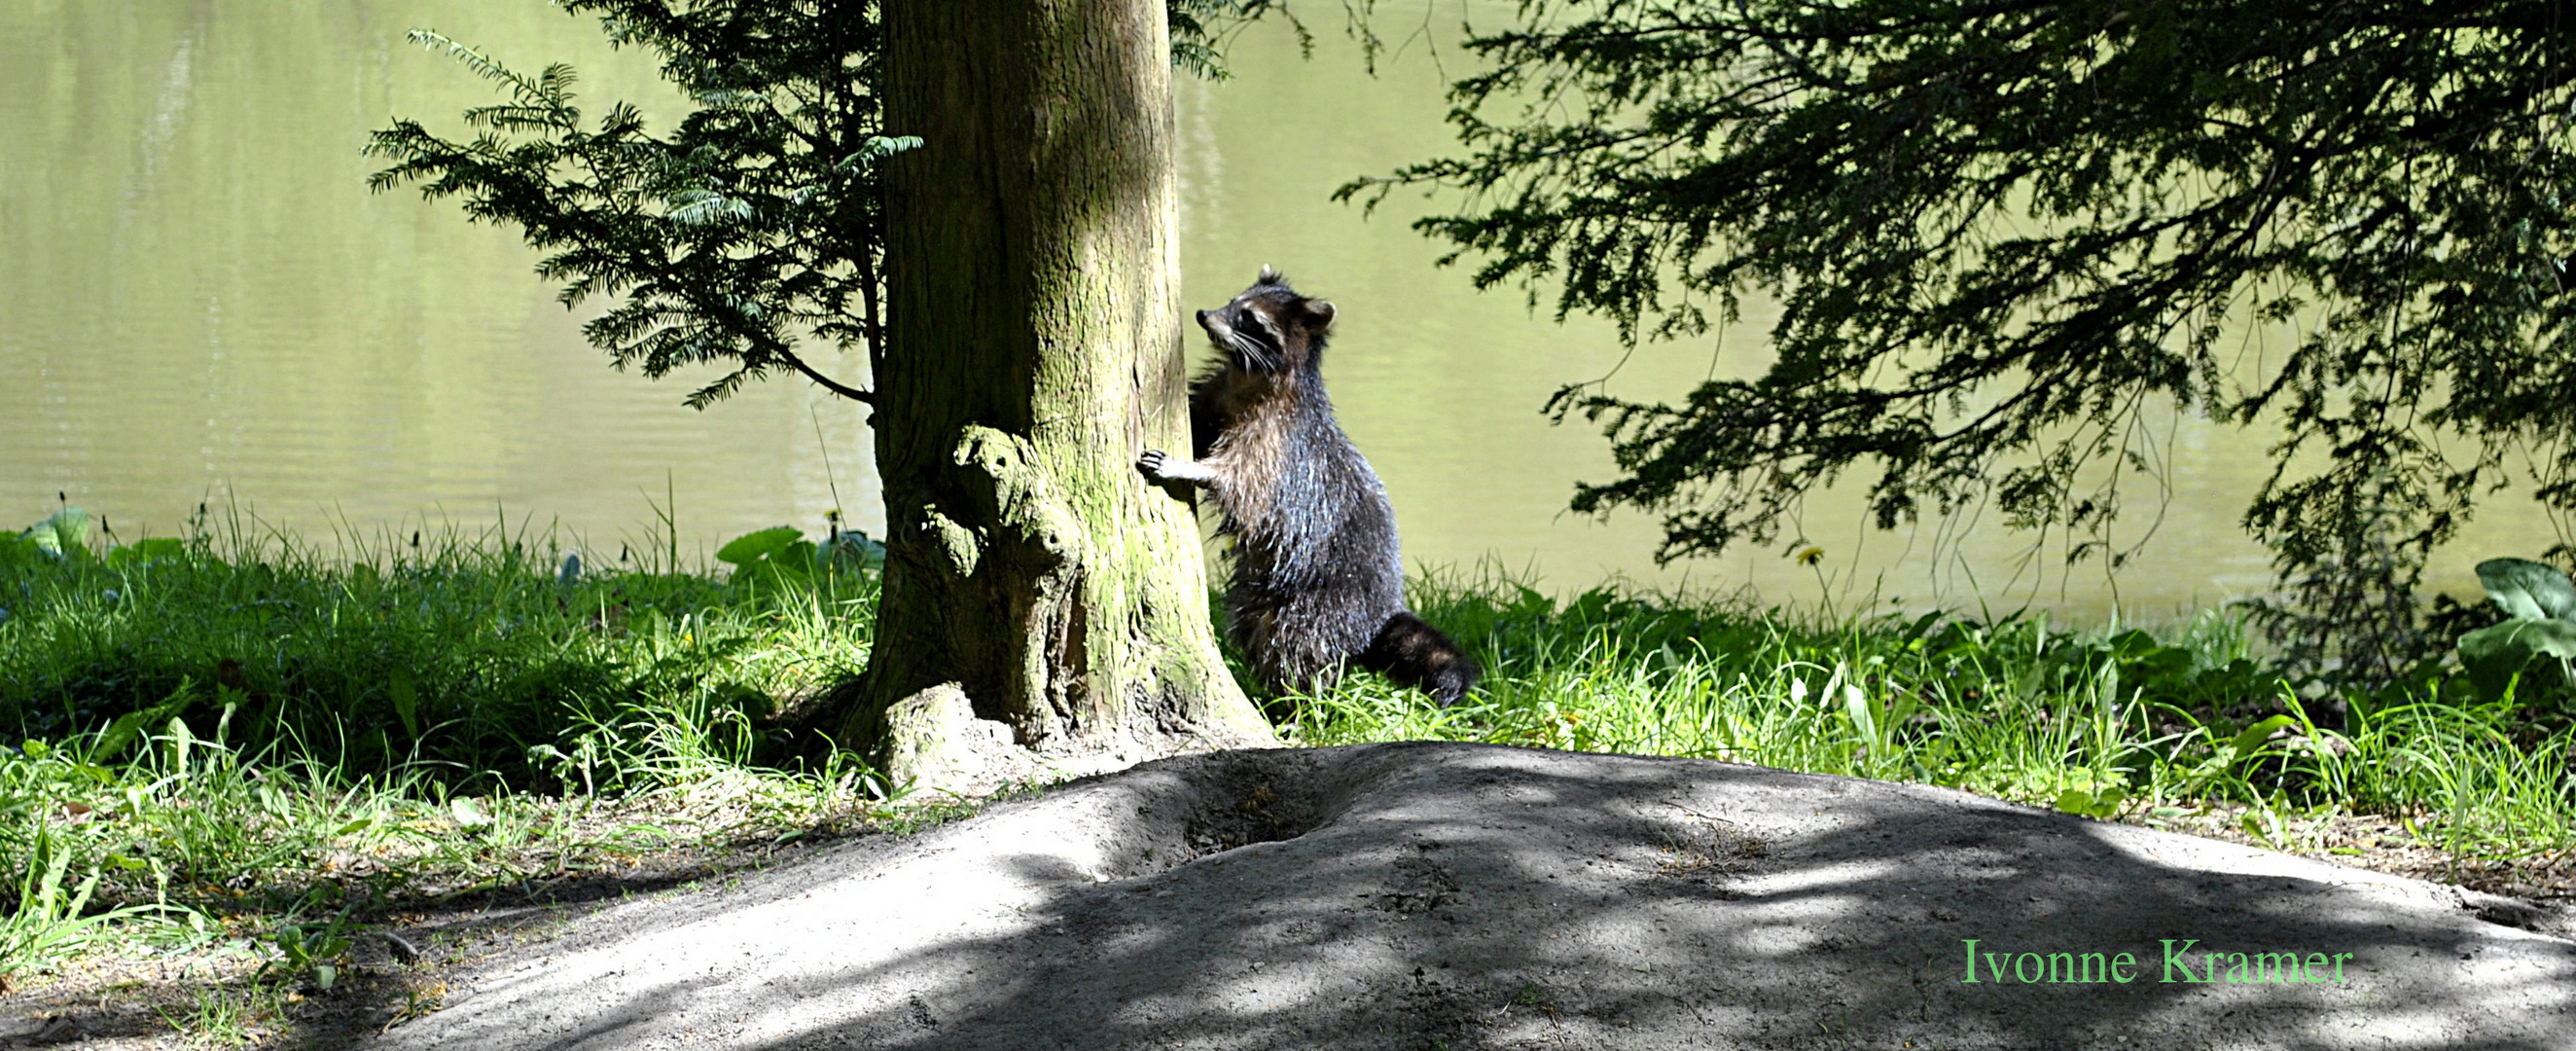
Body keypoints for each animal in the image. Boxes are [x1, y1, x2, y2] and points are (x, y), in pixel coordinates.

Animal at [1138, 266, 1484, 701]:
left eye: (1248, 318)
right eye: (1232, 302)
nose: (1203, 315)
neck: (1247, 372)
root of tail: (1378, 615)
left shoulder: (1276, 440)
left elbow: (1245, 483)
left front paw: (1191, 468)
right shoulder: (1218, 394)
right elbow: (1200, 424)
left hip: (1316, 605)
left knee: (1291, 652)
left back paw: (1295, 702)